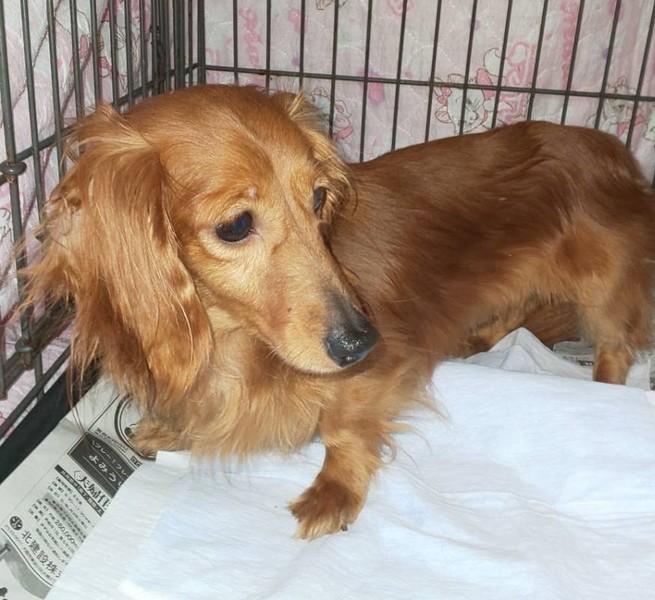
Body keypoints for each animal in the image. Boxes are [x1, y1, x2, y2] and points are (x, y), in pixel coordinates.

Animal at [25, 84, 655, 539]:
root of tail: (612, 149)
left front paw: (335, 491)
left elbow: (343, 426)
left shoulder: (385, 363)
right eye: (235, 225)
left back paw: (603, 391)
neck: (234, 340)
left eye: (319, 198)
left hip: (601, 282)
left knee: (616, 346)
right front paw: (170, 430)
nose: (360, 342)